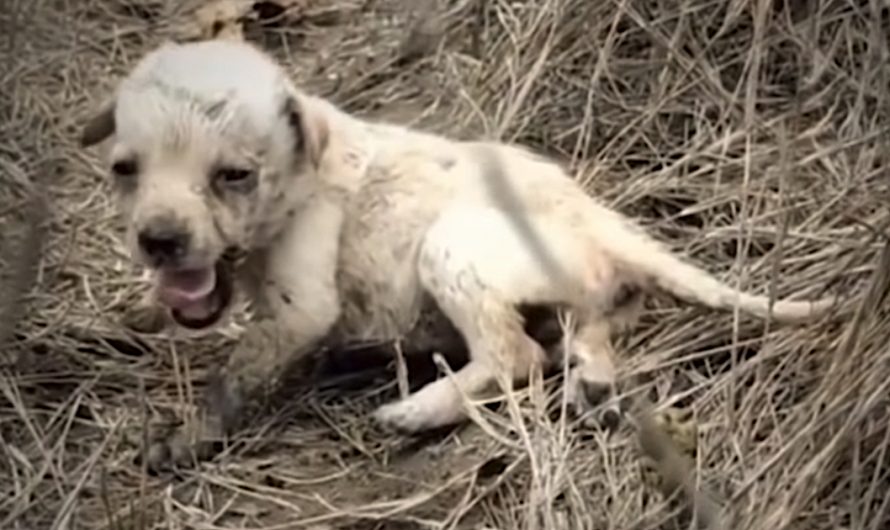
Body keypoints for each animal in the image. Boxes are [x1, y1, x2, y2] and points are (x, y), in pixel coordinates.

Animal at [80, 38, 836, 466]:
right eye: (124, 170)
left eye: (234, 175)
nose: (159, 241)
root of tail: (602, 220)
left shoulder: (301, 305)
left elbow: (234, 376)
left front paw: (183, 439)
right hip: (582, 294)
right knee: (582, 335)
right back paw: (591, 388)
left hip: (451, 249)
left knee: (515, 357)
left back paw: (417, 410)